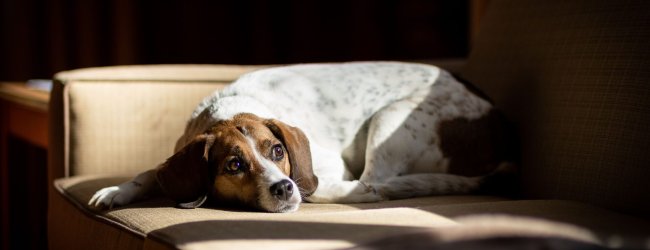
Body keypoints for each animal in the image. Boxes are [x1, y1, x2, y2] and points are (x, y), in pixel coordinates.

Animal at [88, 62, 512, 213]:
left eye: (277, 150)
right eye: (234, 164)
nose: (283, 188)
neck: (226, 110)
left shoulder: (328, 166)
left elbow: (323, 183)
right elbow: (150, 173)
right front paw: (116, 191)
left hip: (392, 118)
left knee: (371, 183)